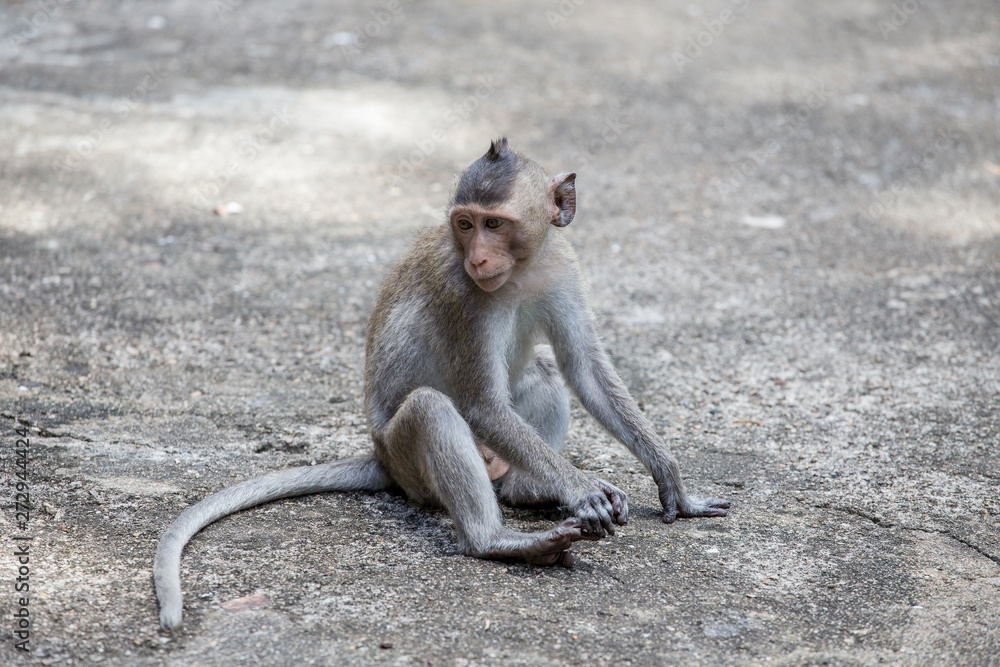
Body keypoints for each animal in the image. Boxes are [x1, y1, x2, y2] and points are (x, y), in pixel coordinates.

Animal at [156, 137, 736, 632]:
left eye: (494, 224)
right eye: (464, 224)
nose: (477, 255)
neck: (521, 270)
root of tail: (381, 459)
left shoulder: (562, 265)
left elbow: (584, 369)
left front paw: (672, 482)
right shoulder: (465, 295)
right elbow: (482, 405)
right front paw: (580, 490)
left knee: (543, 374)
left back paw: (528, 488)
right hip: (408, 463)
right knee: (433, 409)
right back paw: (497, 541)